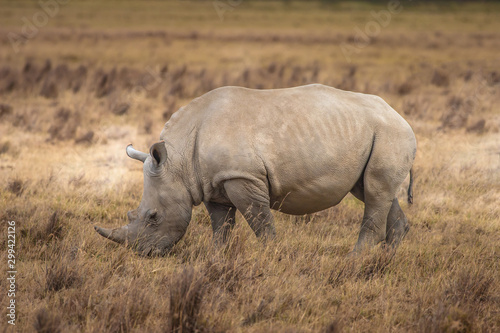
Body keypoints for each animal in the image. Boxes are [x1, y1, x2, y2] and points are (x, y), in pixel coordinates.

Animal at [95, 83, 416, 254]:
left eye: (153, 217)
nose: (144, 254)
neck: (178, 160)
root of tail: (401, 117)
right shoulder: (212, 183)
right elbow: (221, 226)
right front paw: (216, 259)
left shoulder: (242, 177)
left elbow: (260, 222)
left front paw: (271, 256)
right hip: (377, 135)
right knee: (375, 192)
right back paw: (385, 261)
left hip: (389, 134)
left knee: (375, 192)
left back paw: (354, 261)